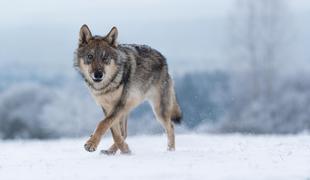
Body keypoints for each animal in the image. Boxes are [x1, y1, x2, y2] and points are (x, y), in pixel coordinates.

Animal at [74, 24, 183, 155]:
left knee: (170, 127)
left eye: (105, 58)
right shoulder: (107, 107)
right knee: (124, 133)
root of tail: (164, 59)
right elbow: (114, 131)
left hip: (158, 110)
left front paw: (91, 144)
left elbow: (103, 124)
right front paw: (125, 149)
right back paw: (111, 151)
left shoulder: (120, 104)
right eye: (90, 57)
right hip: (128, 109)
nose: (98, 75)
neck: (108, 85)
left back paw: (170, 150)